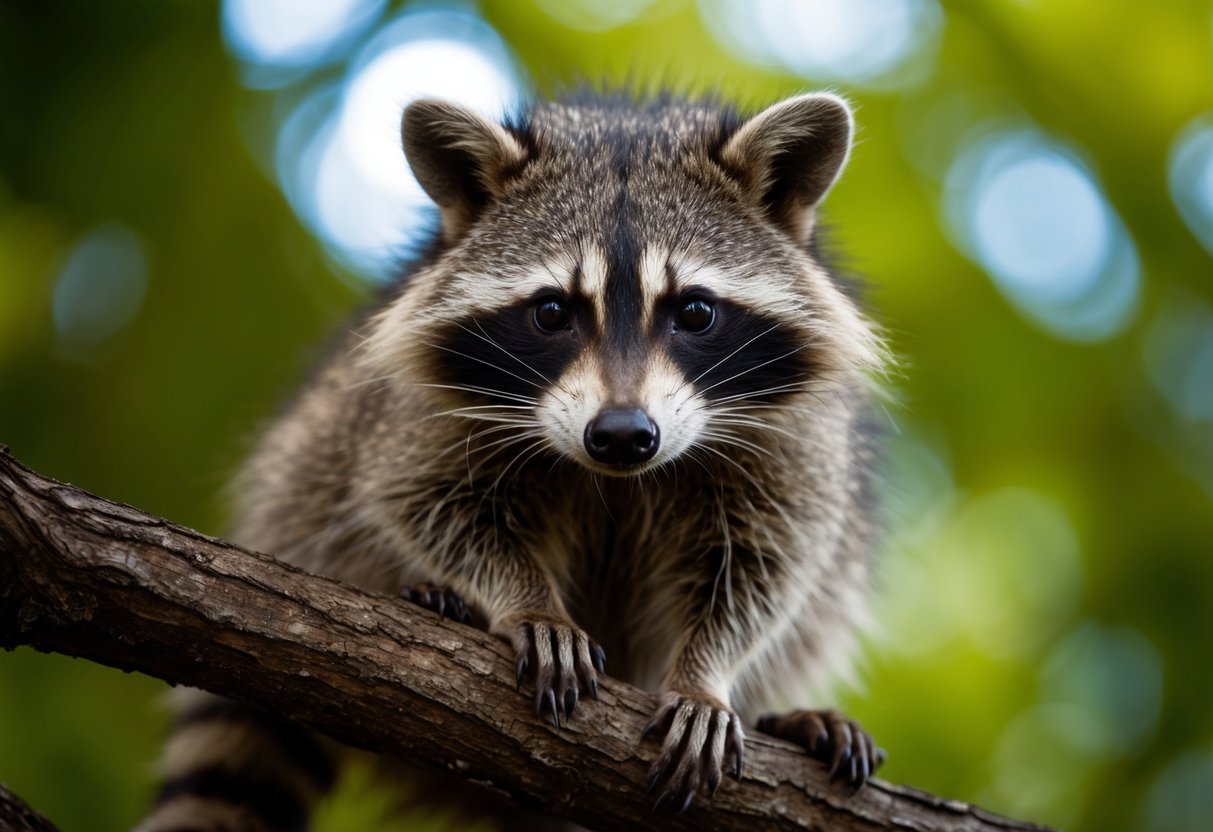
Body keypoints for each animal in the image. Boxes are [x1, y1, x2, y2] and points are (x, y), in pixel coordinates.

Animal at [139, 89, 888, 831]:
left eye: (695, 312)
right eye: (552, 312)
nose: (621, 434)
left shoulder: (793, 440)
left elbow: (767, 562)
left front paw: (705, 672)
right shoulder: (415, 412)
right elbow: (420, 499)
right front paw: (526, 599)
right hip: (309, 466)